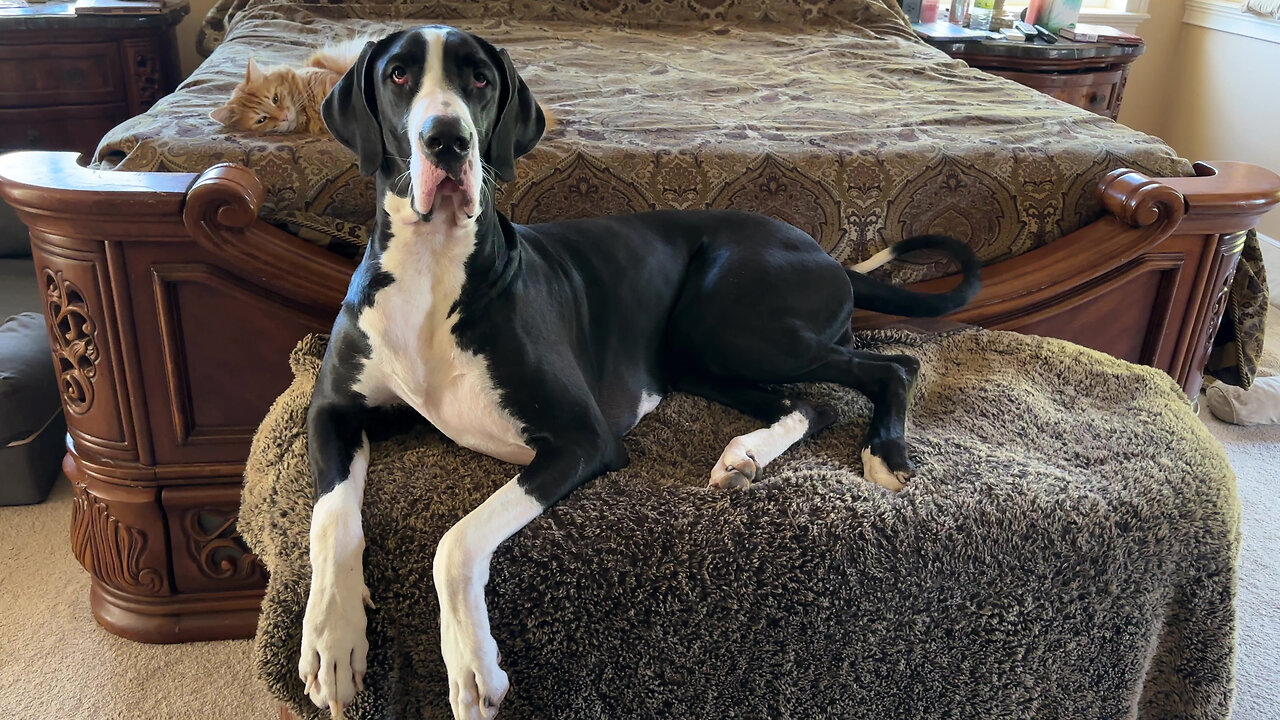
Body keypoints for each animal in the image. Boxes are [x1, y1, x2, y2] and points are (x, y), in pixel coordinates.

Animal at [299, 25, 977, 717]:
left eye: (480, 80)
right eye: (399, 75)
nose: (447, 139)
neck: (432, 267)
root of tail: (831, 257)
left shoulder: (583, 439)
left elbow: (454, 542)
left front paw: (470, 665)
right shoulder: (330, 412)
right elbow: (329, 519)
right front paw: (331, 640)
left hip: (730, 319)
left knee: (893, 365)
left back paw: (883, 454)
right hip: (698, 353)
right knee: (810, 403)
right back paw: (745, 456)